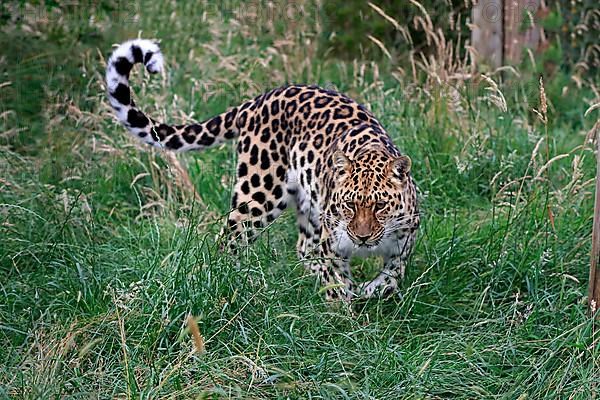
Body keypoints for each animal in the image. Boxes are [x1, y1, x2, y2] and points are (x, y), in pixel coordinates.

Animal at [105, 39, 420, 300]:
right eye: (350, 205)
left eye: (380, 205)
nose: (362, 237)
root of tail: (256, 100)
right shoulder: (332, 245)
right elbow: (337, 285)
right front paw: (345, 319)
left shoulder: (404, 244)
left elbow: (393, 277)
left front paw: (370, 291)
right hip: (257, 196)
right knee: (227, 242)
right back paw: (227, 284)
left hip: (307, 202)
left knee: (303, 247)